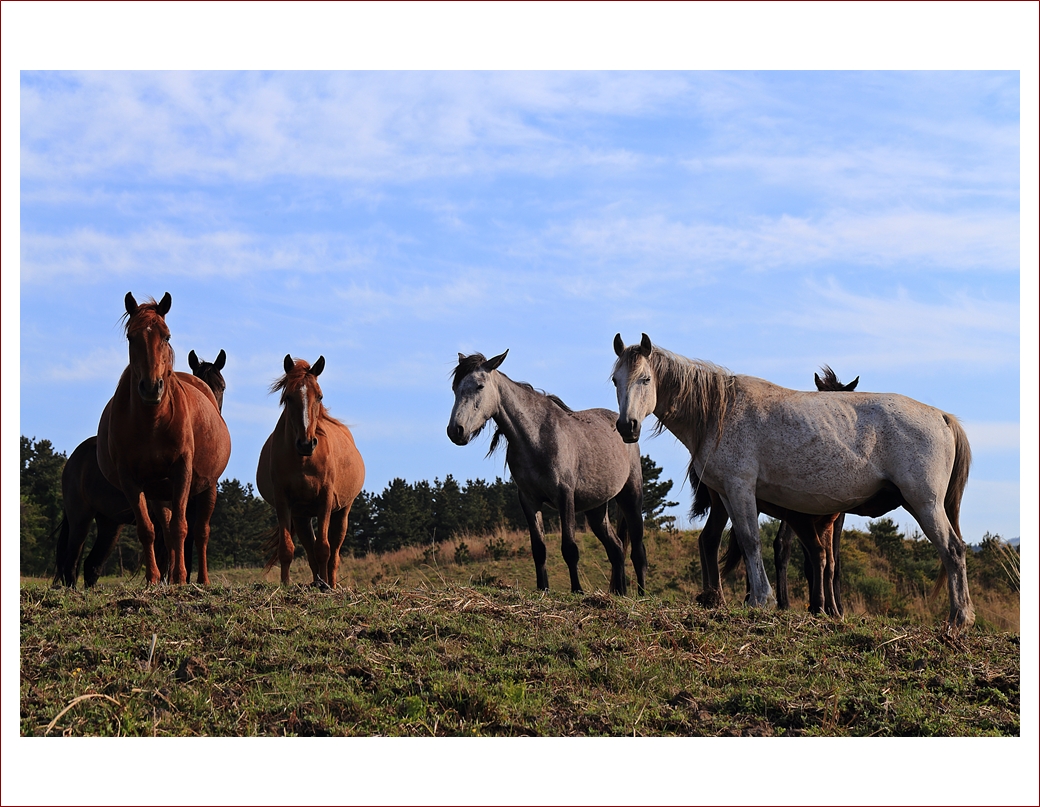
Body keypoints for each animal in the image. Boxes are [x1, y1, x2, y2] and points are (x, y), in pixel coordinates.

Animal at [53, 347, 228, 586]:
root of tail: (72, 460)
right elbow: (173, 543)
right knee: (71, 564)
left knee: (92, 565)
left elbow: (195, 534)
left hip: (109, 524)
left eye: (221, 386)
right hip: (80, 517)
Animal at [96, 293, 231, 582]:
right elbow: (149, 530)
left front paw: (180, 577)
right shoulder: (131, 480)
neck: (152, 422)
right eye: (131, 337)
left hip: (206, 487)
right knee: (167, 531)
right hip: (159, 493)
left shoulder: (182, 472)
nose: (151, 387)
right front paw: (154, 578)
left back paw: (201, 579)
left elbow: (182, 527)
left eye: (166, 336)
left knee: (200, 532)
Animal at [256, 353, 366, 586]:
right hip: (301, 516)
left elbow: (324, 548)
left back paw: (329, 583)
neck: (304, 461)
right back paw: (317, 581)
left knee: (333, 552)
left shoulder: (325, 499)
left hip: (342, 513)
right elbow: (287, 549)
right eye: (288, 397)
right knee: (310, 550)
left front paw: (326, 587)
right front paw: (285, 584)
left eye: (320, 397)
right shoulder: (284, 501)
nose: (306, 443)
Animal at [447, 351, 640, 590]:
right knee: (617, 548)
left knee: (637, 550)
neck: (537, 437)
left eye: (479, 386)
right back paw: (620, 592)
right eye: (455, 388)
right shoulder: (529, 500)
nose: (456, 430)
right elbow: (539, 549)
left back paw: (641, 591)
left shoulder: (565, 496)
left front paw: (577, 590)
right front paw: (543, 589)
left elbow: (570, 549)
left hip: (630, 496)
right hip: (596, 510)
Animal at [607, 334, 973, 632]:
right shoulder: (727, 496)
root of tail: (942, 416)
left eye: (645, 379)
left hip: (925, 503)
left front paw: (762, 600)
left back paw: (960, 616)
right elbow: (743, 543)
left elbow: (751, 540)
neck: (718, 413)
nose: (627, 427)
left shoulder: (741, 489)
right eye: (615, 380)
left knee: (953, 550)